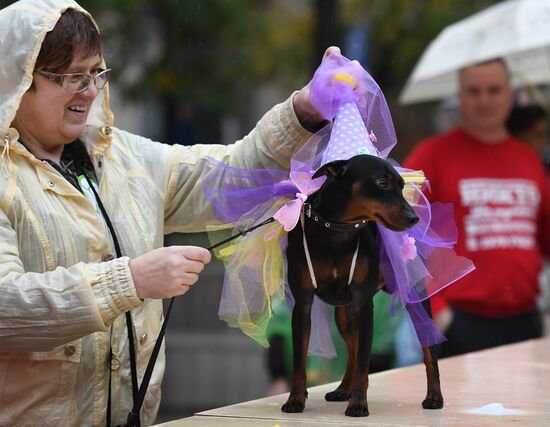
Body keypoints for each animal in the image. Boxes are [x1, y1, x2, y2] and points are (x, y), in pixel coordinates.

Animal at [282, 155, 446, 418]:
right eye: (382, 183)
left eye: (402, 186)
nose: (414, 218)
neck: (337, 230)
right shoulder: (303, 305)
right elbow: (299, 361)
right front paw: (295, 400)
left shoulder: (364, 304)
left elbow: (363, 362)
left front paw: (358, 404)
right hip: (345, 313)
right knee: (352, 349)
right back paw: (342, 390)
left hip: (415, 299)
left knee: (429, 353)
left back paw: (434, 397)